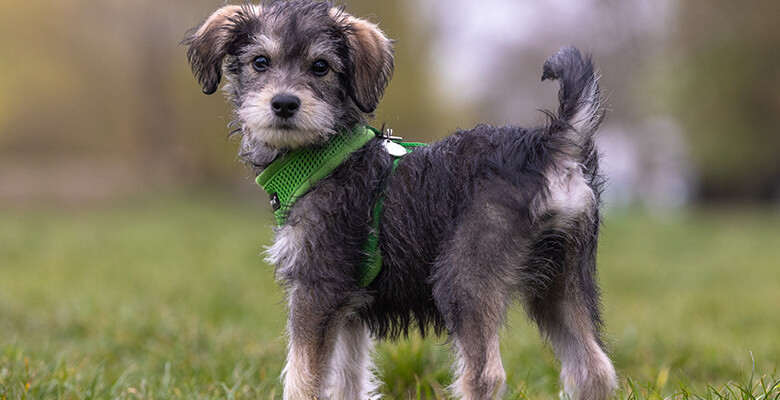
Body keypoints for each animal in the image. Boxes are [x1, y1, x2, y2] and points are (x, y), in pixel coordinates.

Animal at [186, 0, 620, 400]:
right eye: (260, 62)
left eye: (320, 67)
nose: (284, 104)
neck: (325, 155)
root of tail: (550, 145)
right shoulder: (350, 308)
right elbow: (348, 378)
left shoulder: (316, 289)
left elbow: (303, 377)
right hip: (563, 281)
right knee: (594, 369)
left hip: (464, 278)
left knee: (486, 375)